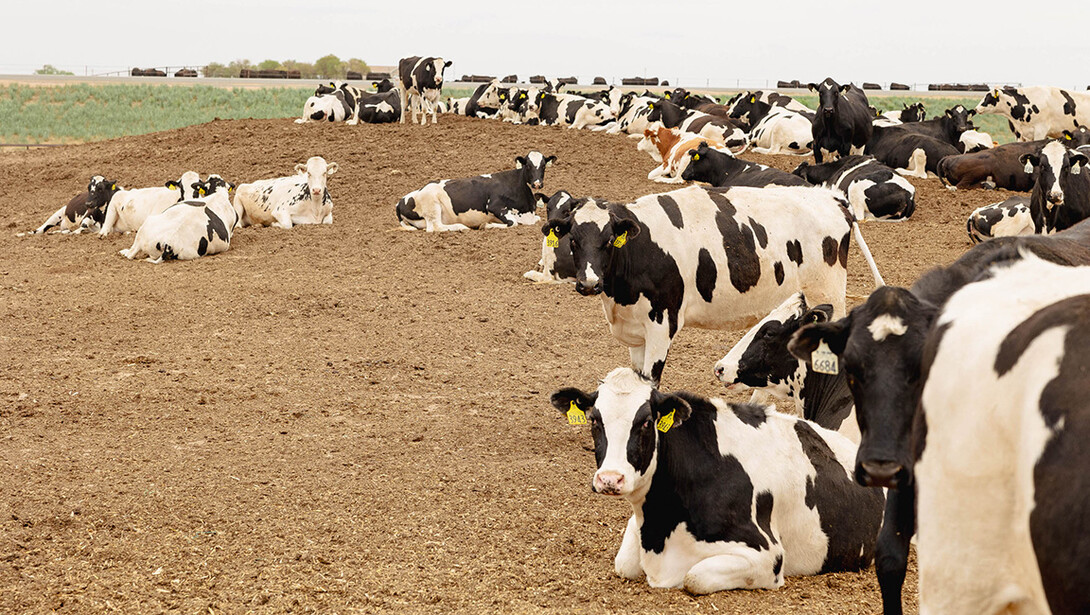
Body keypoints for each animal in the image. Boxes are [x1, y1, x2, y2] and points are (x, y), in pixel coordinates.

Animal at [396, 152, 555, 232]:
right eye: (527, 165)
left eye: (543, 166)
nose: (537, 184)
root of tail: (401, 201)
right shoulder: (495, 206)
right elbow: (513, 223)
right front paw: (486, 225)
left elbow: (537, 219)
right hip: (432, 206)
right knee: (435, 227)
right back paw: (461, 227)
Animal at [542, 183, 883, 382]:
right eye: (573, 240)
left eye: (609, 240)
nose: (588, 283)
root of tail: (831, 197)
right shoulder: (636, 333)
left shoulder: (662, 324)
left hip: (827, 294)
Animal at [551, 368, 884, 593]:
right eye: (595, 420)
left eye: (645, 422)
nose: (610, 479)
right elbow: (624, 564)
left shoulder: (767, 555)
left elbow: (694, 578)